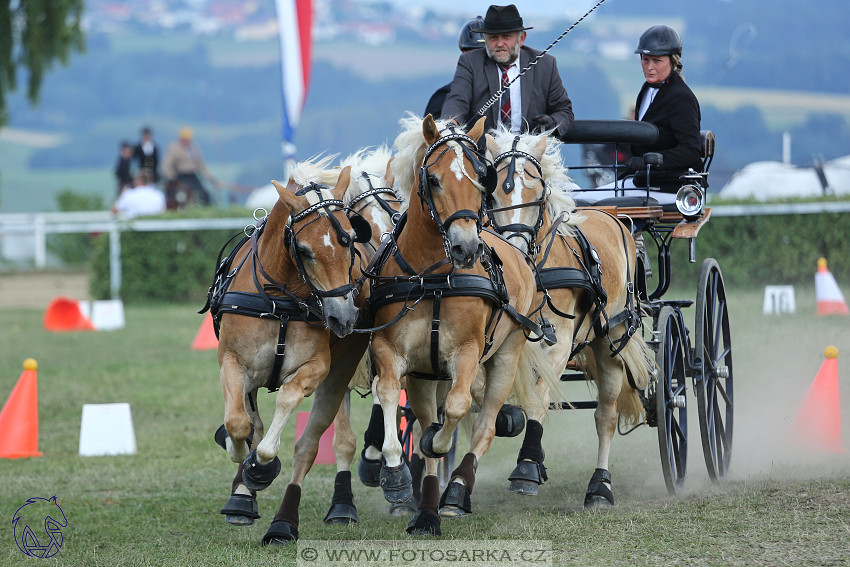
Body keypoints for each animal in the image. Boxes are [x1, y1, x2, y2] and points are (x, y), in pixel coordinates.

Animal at [200, 154, 372, 540]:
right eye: (304, 250)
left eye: (350, 240)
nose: (343, 316)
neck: (280, 297)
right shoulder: (233, 362)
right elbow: (239, 423)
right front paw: (239, 463)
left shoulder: (317, 367)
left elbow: (286, 402)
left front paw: (261, 466)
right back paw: (242, 497)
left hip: (340, 371)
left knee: (309, 445)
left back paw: (287, 520)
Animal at [366, 114, 556, 536]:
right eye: (434, 180)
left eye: (481, 180)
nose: (466, 248)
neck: (433, 278)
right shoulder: (394, 352)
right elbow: (387, 392)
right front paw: (395, 474)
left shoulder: (468, 353)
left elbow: (456, 408)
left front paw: (437, 448)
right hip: (425, 376)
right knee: (427, 420)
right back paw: (427, 507)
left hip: (506, 354)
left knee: (484, 423)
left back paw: (455, 492)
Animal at [484, 127, 656, 510]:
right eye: (491, 192)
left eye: (537, 191)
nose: (514, 249)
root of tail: (614, 217)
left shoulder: (559, 341)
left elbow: (537, 398)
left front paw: (526, 467)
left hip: (611, 339)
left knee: (605, 416)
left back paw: (600, 487)